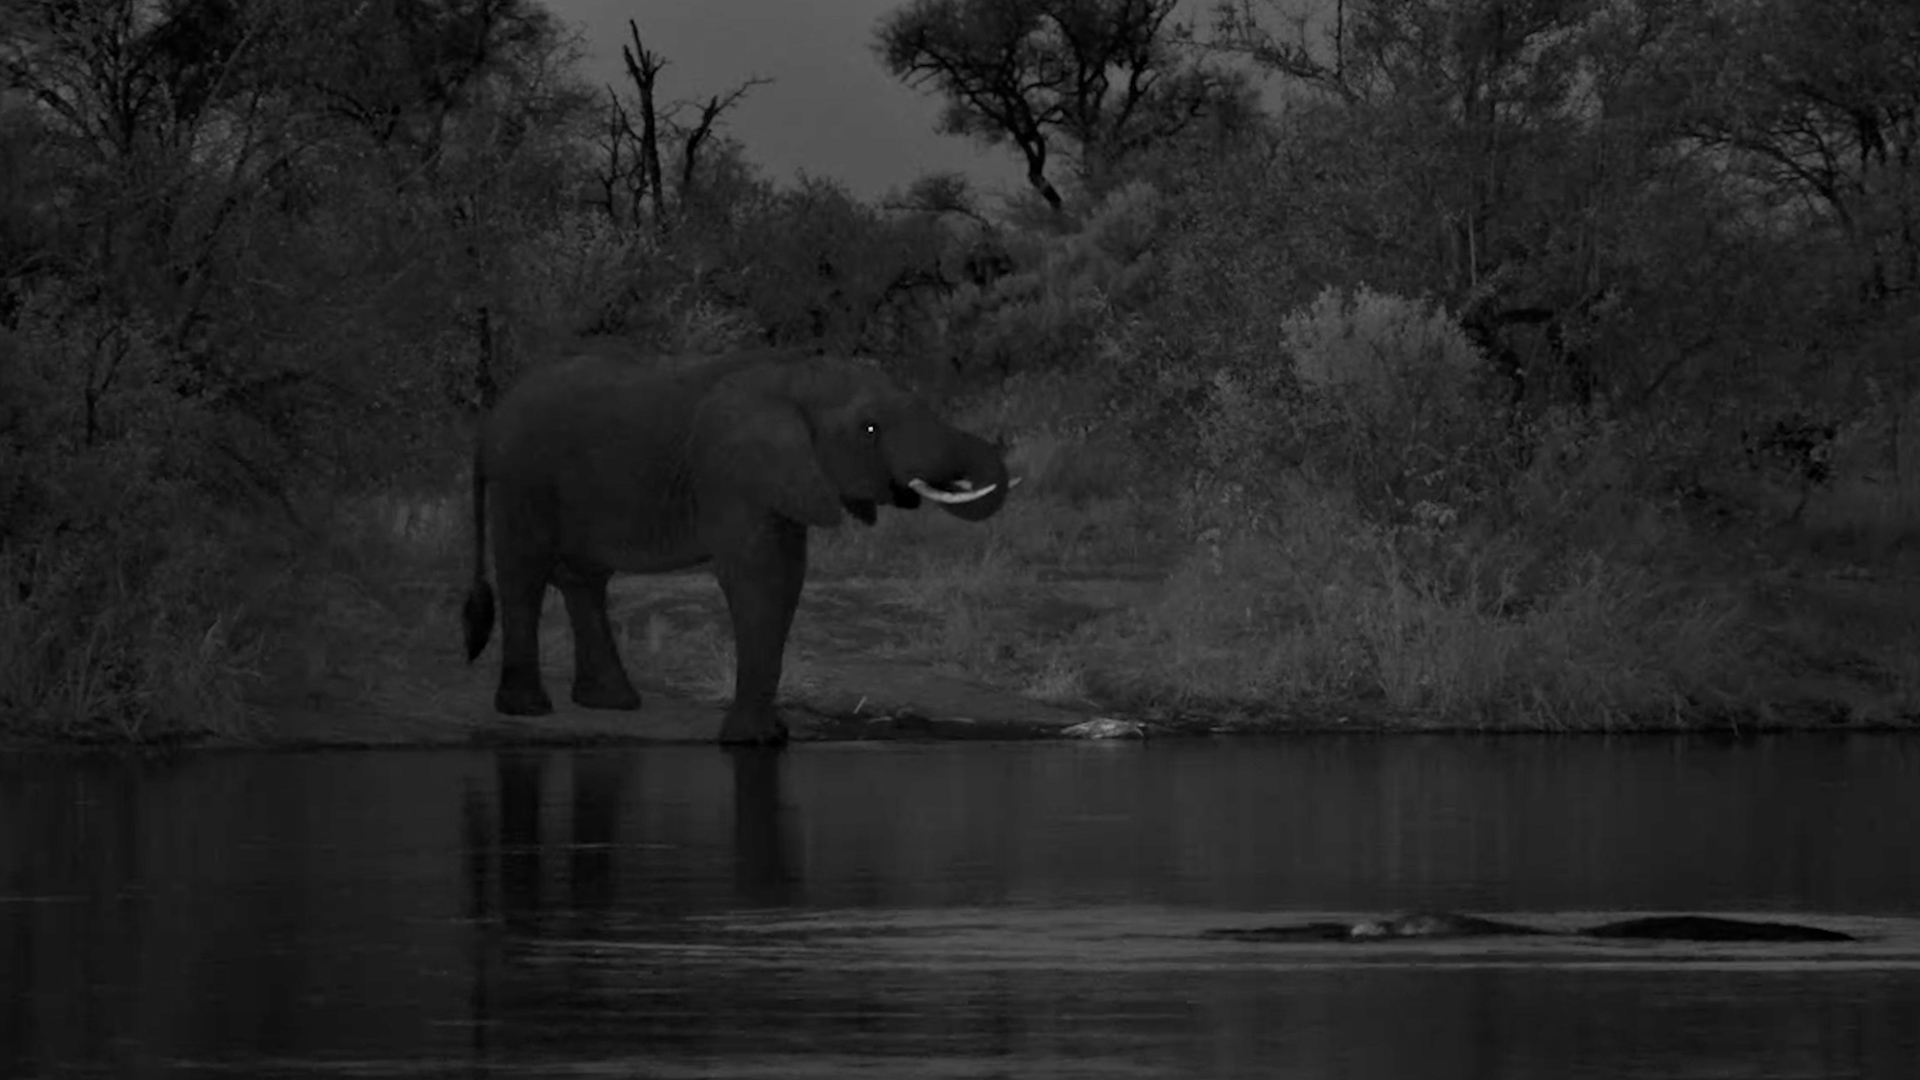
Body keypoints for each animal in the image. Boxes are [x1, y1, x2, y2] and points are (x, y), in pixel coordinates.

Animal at [461, 347, 1013, 745]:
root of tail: (489, 422)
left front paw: (771, 737)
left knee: (583, 578)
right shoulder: (732, 475)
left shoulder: (785, 481)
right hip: (523, 479)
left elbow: (787, 577)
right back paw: (528, 708)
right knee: (524, 572)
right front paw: (750, 741)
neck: (795, 376)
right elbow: (758, 576)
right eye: (869, 429)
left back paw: (612, 703)